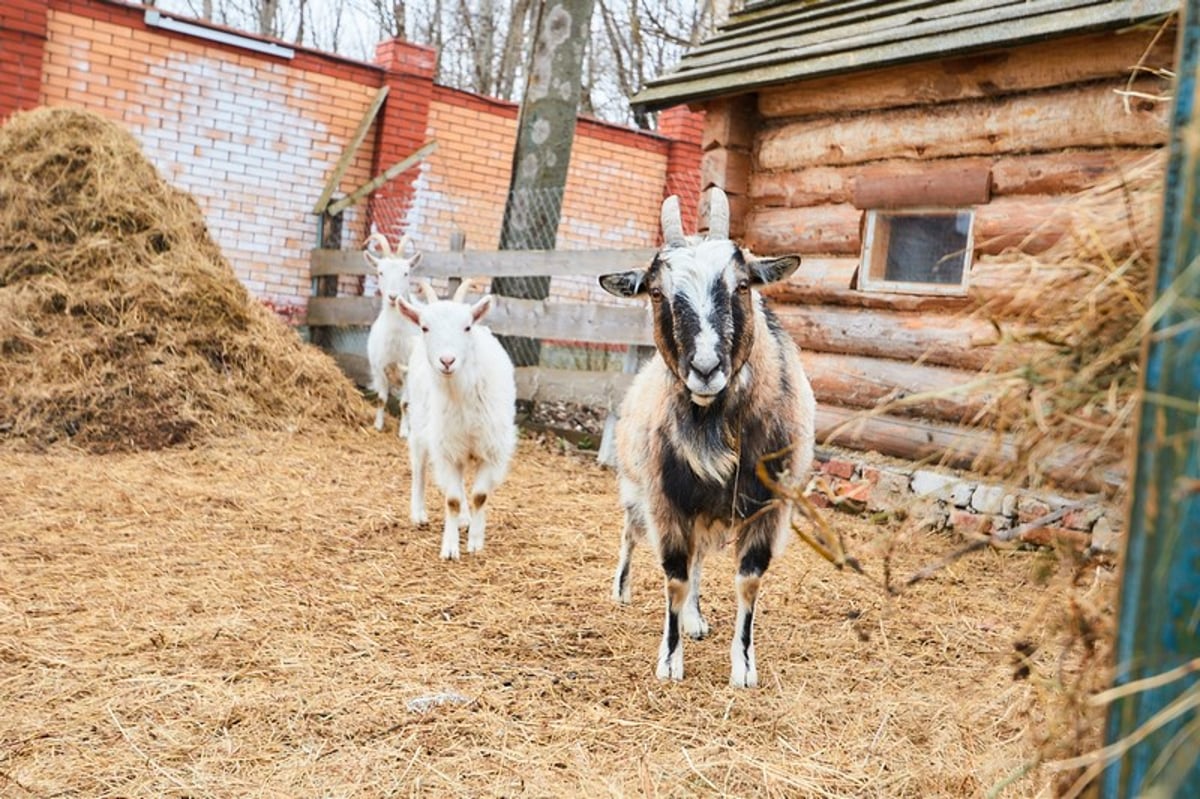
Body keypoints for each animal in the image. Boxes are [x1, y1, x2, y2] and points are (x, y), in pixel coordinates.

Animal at [362, 233, 420, 436]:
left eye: (406, 273)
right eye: (380, 272)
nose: (393, 297)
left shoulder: (408, 370)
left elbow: (405, 404)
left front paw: (404, 432)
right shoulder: (379, 366)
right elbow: (381, 398)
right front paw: (378, 425)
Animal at [393, 279, 516, 559]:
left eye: (467, 327)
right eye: (425, 327)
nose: (447, 361)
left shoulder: (492, 449)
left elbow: (479, 495)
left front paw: (475, 543)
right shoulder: (446, 448)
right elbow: (452, 500)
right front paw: (450, 548)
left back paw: (465, 520)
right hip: (421, 425)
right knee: (419, 467)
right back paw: (419, 514)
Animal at [600, 187, 816, 686]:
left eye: (743, 285)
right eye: (656, 291)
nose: (705, 369)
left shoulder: (768, 507)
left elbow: (746, 582)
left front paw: (744, 668)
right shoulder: (668, 500)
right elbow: (675, 578)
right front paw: (669, 661)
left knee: (698, 561)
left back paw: (696, 620)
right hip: (635, 490)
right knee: (630, 534)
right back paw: (622, 590)